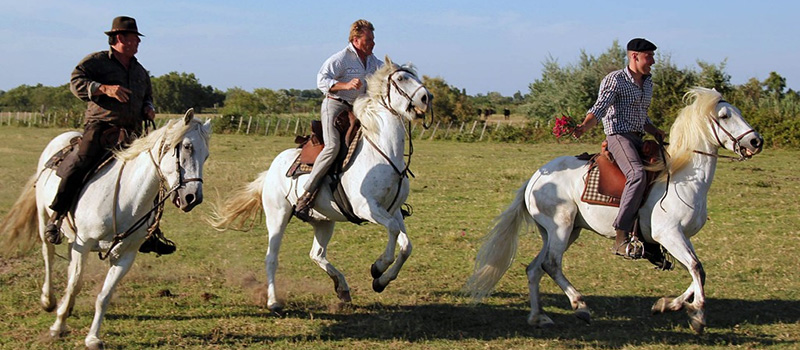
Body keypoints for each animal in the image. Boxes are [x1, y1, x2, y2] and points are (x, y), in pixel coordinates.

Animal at [0, 110, 212, 350]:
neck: (126, 197)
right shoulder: (84, 243)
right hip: (44, 216)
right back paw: (49, 300)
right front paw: (58, 326)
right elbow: (75, 284)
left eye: (206, 155)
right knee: (49, 255)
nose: (192, 198)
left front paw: (92, 337)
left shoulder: (125, 255)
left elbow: (104, 295)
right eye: (187, 147)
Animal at [208, 56, 432, 310]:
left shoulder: (392, 210)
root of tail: (271, 169)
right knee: (271, 258)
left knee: (317, 254)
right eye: (402, 78)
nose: (427, 98)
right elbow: (393, 232)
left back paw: (342, 288)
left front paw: (380, 281)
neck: (383, 151)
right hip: (277, 216)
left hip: (324, 221)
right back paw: (273, 301)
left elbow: (405, 246)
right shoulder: (367, 208)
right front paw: (378, 267)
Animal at [466, 87, 764, 334]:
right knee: (551, 264)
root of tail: (536, 177)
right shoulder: (669, 235)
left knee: (534, 269)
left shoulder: (682, 237)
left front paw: (668, 304)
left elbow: (698, 272)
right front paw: (698, 316)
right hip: (561, 227)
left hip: (564, 232)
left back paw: (538, 317)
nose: (755, 142)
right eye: (724, 115)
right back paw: (580, 306)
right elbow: (696, 268)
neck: (683, 177)